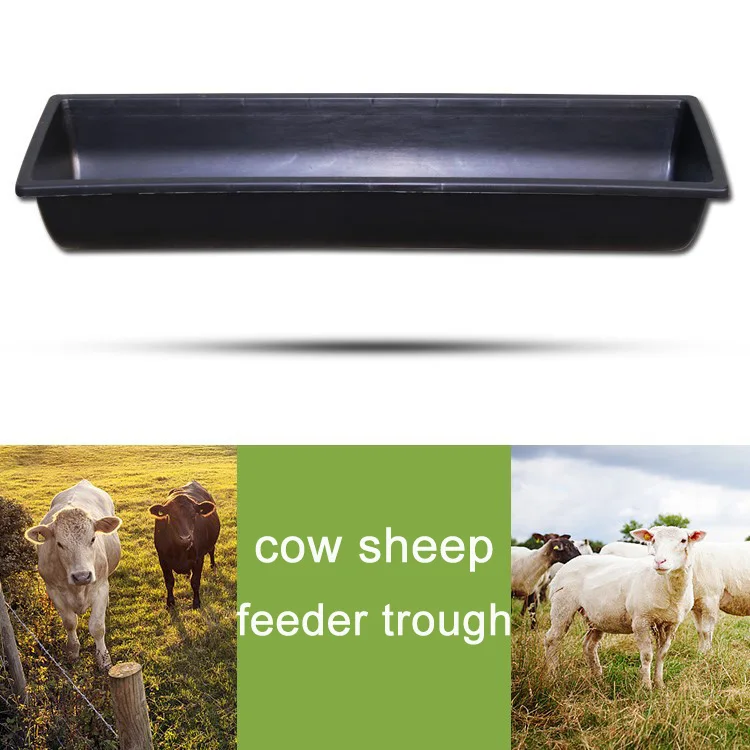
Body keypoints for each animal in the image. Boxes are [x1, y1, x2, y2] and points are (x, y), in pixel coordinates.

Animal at [545, 526, 706, 689]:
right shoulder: (640, 621)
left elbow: (662, 654)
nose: (660, 561)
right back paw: (553, 676)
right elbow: (647, 655)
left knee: (589, 645)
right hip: (562, 604)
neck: (667, 587)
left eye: (683, 540)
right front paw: (646, 686)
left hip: (597, 617)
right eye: (654, 540)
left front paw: (660, 685)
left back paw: (598, 678)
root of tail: (569, 564)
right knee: (553, 639)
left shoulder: (672, 624)